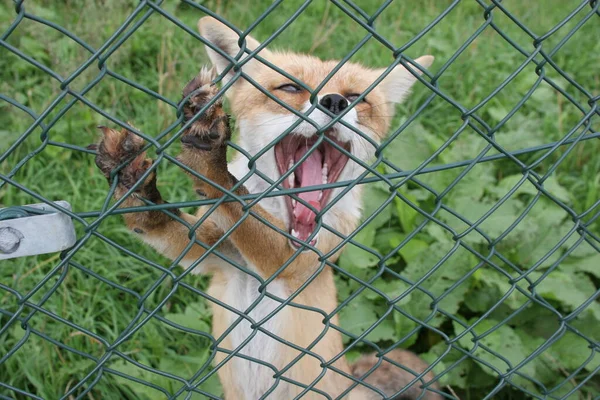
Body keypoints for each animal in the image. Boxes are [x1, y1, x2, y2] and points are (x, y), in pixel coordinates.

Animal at [92, 16, 440, 400]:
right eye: (289, 88)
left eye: (356, 98)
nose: (335, 102)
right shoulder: (213, 254)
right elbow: (161, 223)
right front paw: (135, 183)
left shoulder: (299, 261)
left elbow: (239, 204)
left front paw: (209, 162)